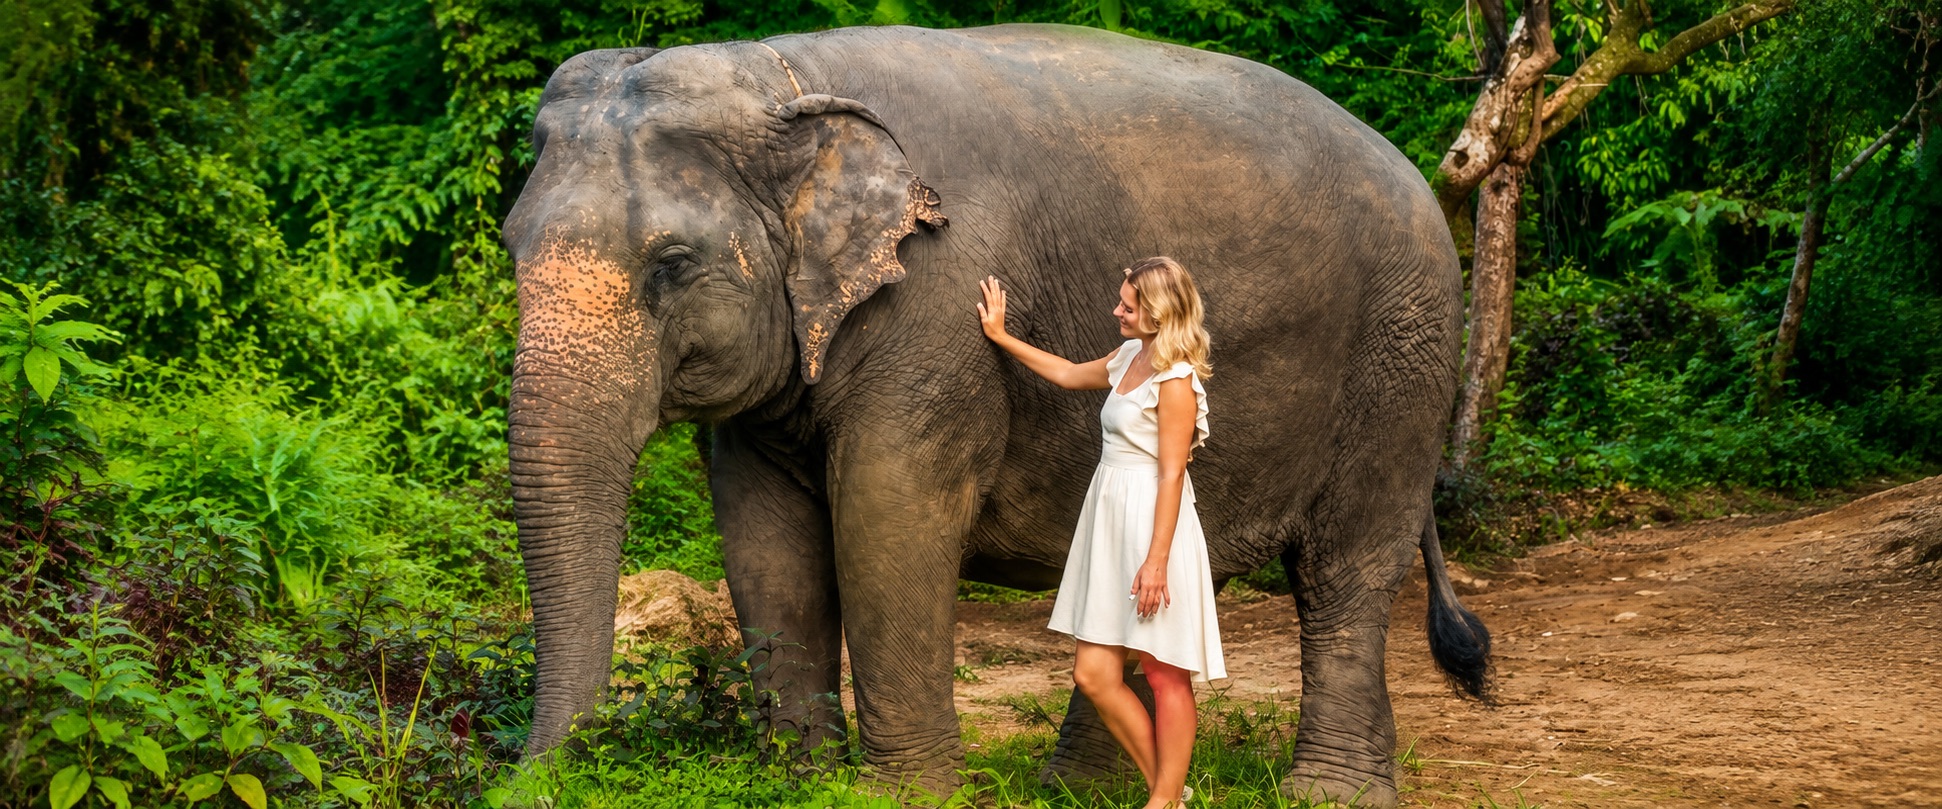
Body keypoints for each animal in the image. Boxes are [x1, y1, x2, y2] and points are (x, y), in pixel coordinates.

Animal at [502, 22, 1491, 806]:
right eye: (511, 247)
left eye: (670, 264)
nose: (538, 777)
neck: (786, 75)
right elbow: (763, 536)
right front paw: (797, 782)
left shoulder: (931, 303)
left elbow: (888, 514)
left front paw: (901, 796)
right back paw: (1085, 792)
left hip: (1403, 354)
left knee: (1345, 571)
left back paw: (1329, 793)